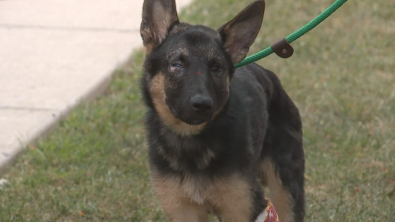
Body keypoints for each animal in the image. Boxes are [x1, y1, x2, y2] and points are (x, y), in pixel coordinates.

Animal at [141, 0, 304, 221]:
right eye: (177, 64)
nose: (202, 104)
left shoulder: (243, 208)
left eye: (216, 68)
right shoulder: (184, 211)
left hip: (286, 187)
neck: (191, 141)